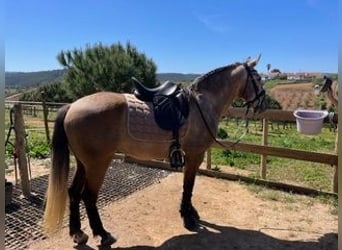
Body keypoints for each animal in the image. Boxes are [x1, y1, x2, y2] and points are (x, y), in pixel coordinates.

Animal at [43, 55, 268, 246]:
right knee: (88, 196)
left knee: (73, 193)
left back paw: (78, 233)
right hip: (98, 164)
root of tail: (72, 106)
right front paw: (188, 217)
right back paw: (103, 234)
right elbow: (189, 185)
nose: (263, 104)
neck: (202, 103)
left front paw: (191, 213)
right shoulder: (195, 154)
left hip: (83, 163)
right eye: (258, 78)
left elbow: (188, 185)